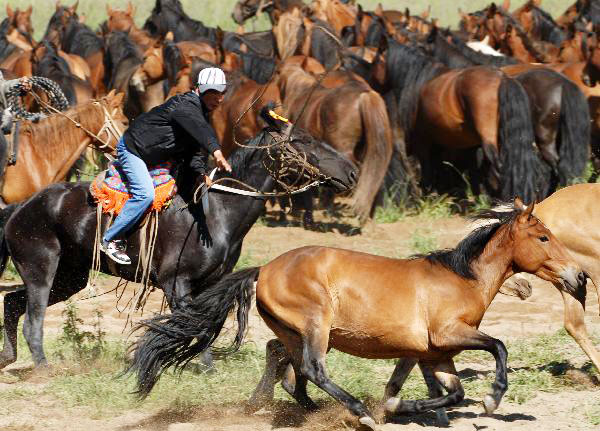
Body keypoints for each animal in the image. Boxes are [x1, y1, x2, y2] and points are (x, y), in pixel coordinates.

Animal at [129, 201, 584, 430]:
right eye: (543, 237)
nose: (578, 276)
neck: (461, 279)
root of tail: (265, 269)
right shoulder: (450, 335)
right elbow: (499, 347)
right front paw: (491, 399)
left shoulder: (435, 353)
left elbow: (451, 392)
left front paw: (403, 405)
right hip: (316, 327)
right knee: (312, 369)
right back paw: (358, 413)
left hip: (296, 332)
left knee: (290, 365)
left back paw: (304, 409)